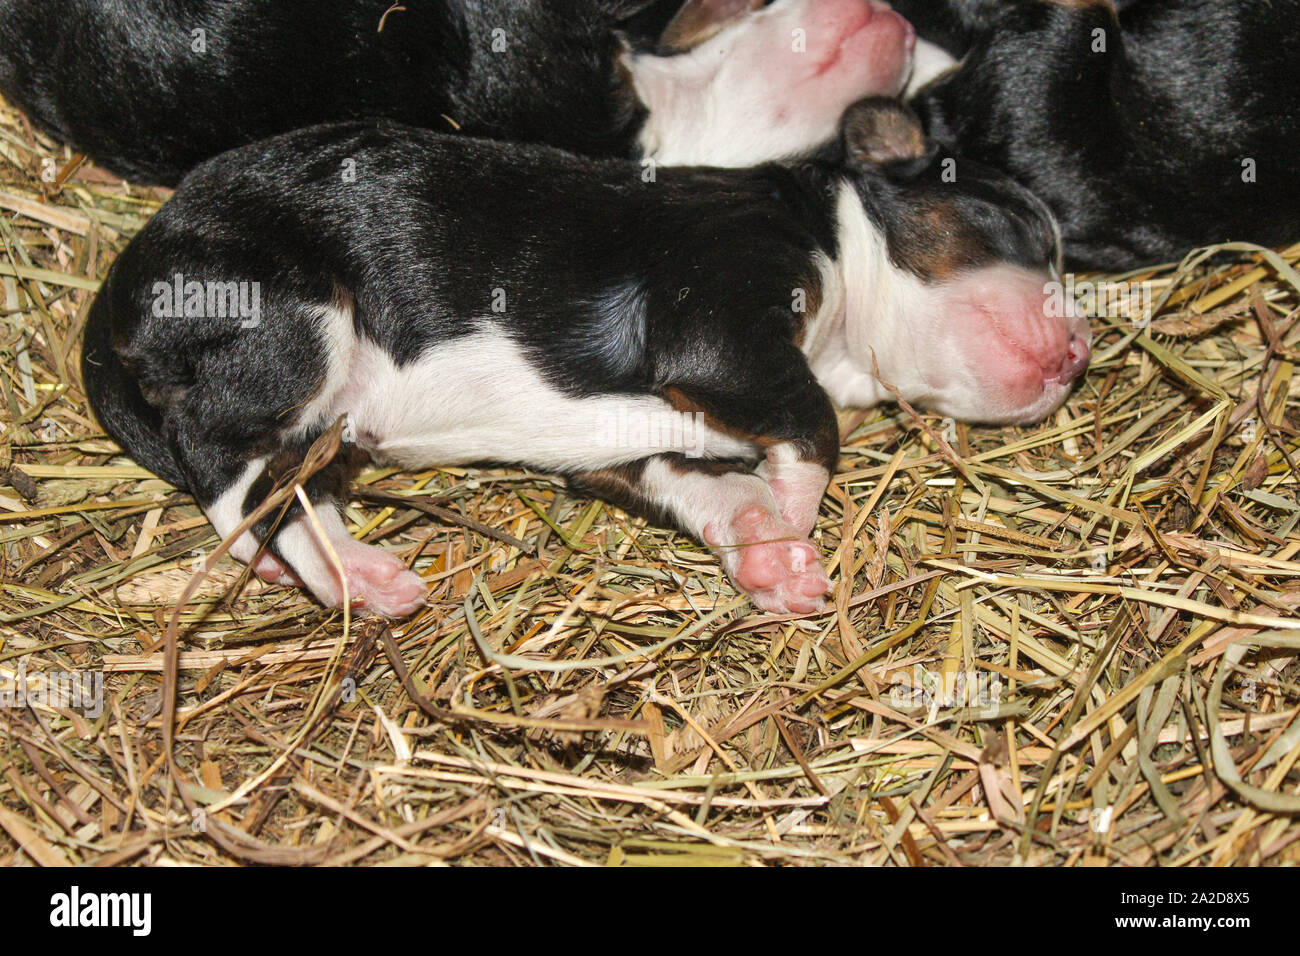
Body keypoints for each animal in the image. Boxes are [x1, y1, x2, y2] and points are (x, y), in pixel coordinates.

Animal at [81, 100, 1092, 616]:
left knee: (296, 481)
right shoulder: (720, 315)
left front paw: (770, 554)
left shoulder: (625, 452)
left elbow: (706, 483)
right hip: (290, 323)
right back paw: (355, 580)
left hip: (323, 411)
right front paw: (796, 515)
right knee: (230, 468)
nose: (1082, 349)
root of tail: (124, 280)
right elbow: (810, 424)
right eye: (1020, 225)